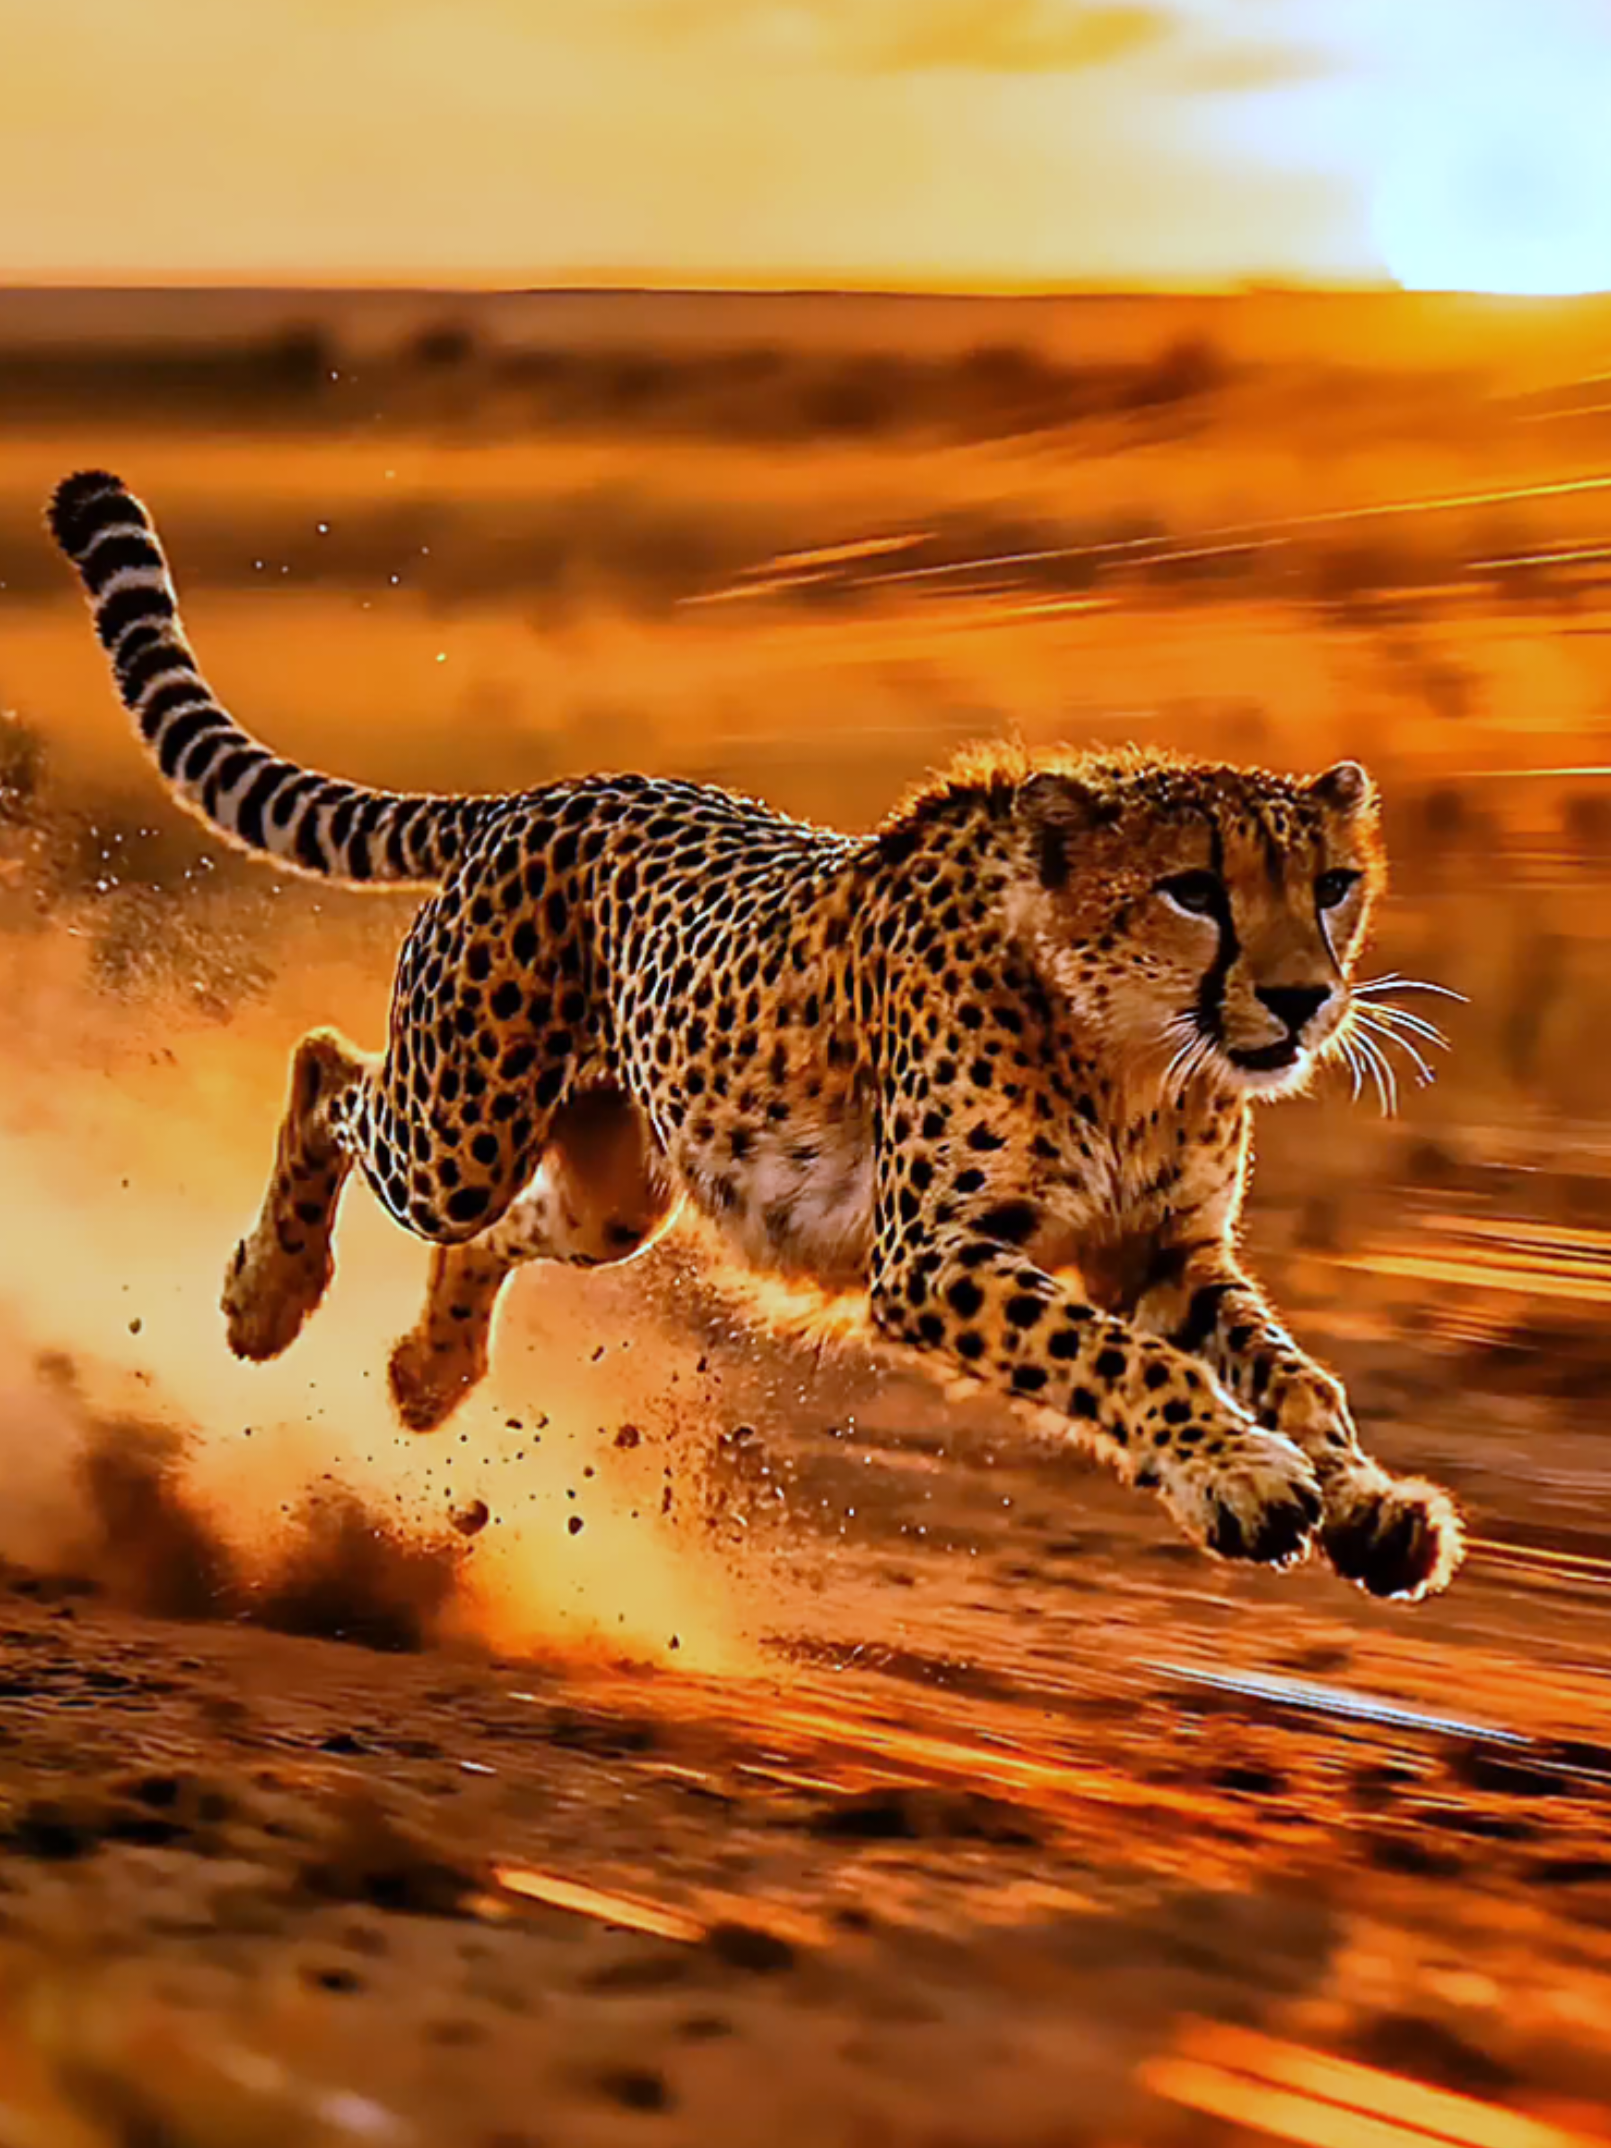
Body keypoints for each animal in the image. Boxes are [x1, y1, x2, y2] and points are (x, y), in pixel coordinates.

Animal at [49, 468, 1464, 1601]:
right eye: (1196, 891)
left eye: (1334, 885)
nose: (1305, 999)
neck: (1133, 1048)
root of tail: (545, 794)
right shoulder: (932, 1258)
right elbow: (1121, 1358)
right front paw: (1243, 1479)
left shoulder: (1165, 1252)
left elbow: (1291, 1373)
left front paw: (1369, 1499)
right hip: (462, 1125)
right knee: (333, 1072)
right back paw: (267, 1296)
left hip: (616, 1189)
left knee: (497, 1225)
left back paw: (430, 1372)